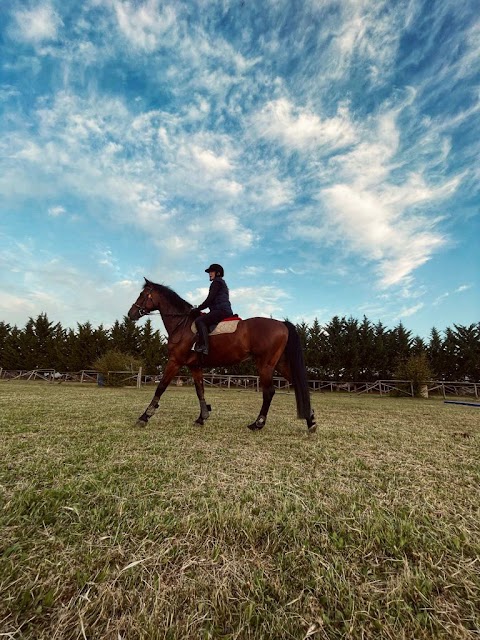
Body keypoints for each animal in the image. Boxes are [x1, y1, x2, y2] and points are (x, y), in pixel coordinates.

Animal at [127, 278, 316, 432]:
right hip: (280, 364)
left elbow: (161, 387)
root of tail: (282, 324)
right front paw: (202, 418)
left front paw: (144, 417)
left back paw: (257, 424)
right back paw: (311, 422)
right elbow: (200, 391)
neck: (182, 324)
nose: (130, 314)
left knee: (269, 392)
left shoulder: (175, 361)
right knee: (298, 386)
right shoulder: (195, 366)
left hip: (265, 365)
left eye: (142, 294)